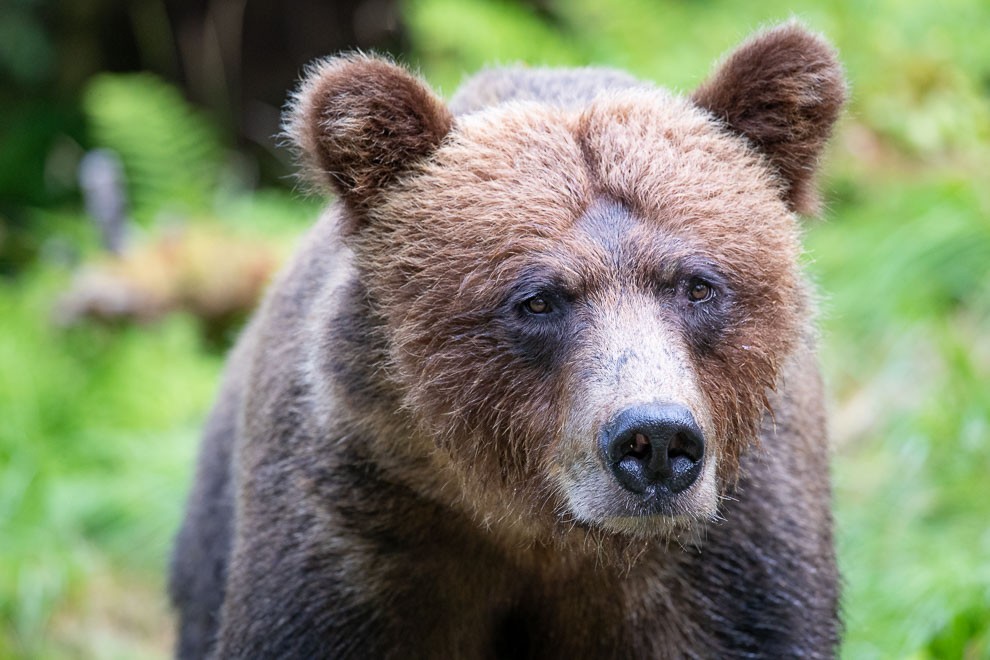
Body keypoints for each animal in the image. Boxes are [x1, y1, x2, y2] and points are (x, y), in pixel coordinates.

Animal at [169, 20, 844, 660]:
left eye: (698, 286)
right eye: (538, 300)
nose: (654, 440)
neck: (543, 534)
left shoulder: (731, 561)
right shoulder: (356, 534)